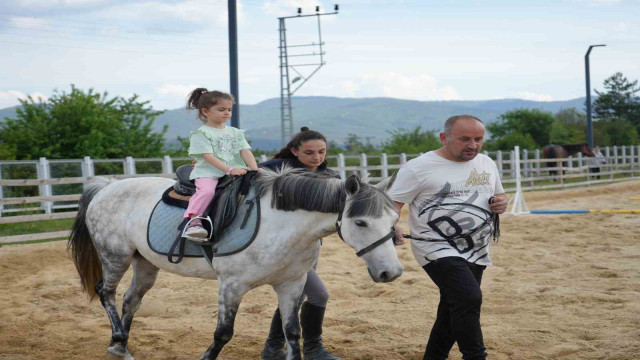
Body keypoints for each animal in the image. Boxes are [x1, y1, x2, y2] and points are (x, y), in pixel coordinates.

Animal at [69, 169, 400, 360]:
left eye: (395, 218)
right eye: (361, 222)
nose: (392, 272)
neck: (282, 224)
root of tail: (105, 188)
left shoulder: (291, 285)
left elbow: (293, 333)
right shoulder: (231, 286)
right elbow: (223, 334)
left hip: (145, 264)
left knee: (130, 300)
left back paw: (121, 347)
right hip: (115, 256)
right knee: (106, 292)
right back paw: (118, 339)